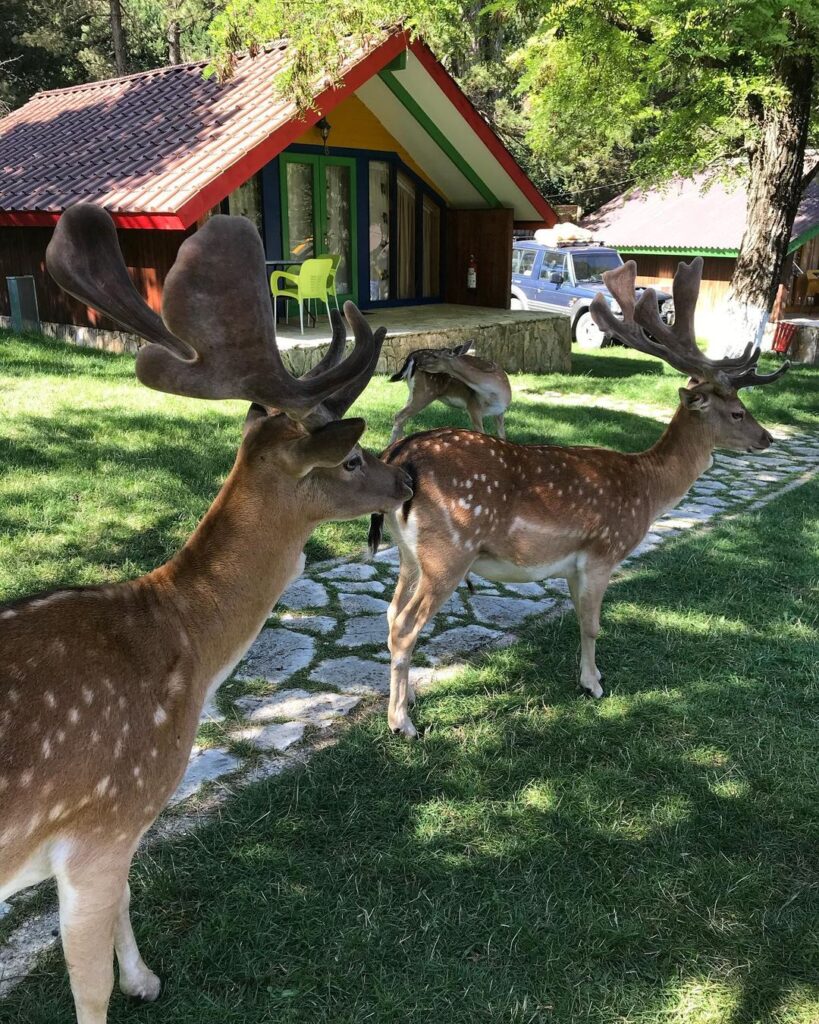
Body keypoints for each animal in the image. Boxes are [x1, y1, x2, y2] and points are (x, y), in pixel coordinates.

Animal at [0, 203, 409, 1019]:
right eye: (352, 460)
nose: (407, 479)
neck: (186, 648)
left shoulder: (116, 835)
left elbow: (129, 899)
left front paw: (147, 978)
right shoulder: (100, 819)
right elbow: (87, 988)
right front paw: (126, 984)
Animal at [370, 254, 786, 737]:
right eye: (737, 411)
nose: (767, 438)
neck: (647, 487)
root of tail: (401, 456)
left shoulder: (571, 564)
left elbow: (578, 620)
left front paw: (591, 675)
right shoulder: (603, 552)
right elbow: (593, 626)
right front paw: (594, 684)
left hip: (408, 555)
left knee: (389, 615)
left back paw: (409, 698)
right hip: (449, 552)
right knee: (405, 626)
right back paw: (401, 722)